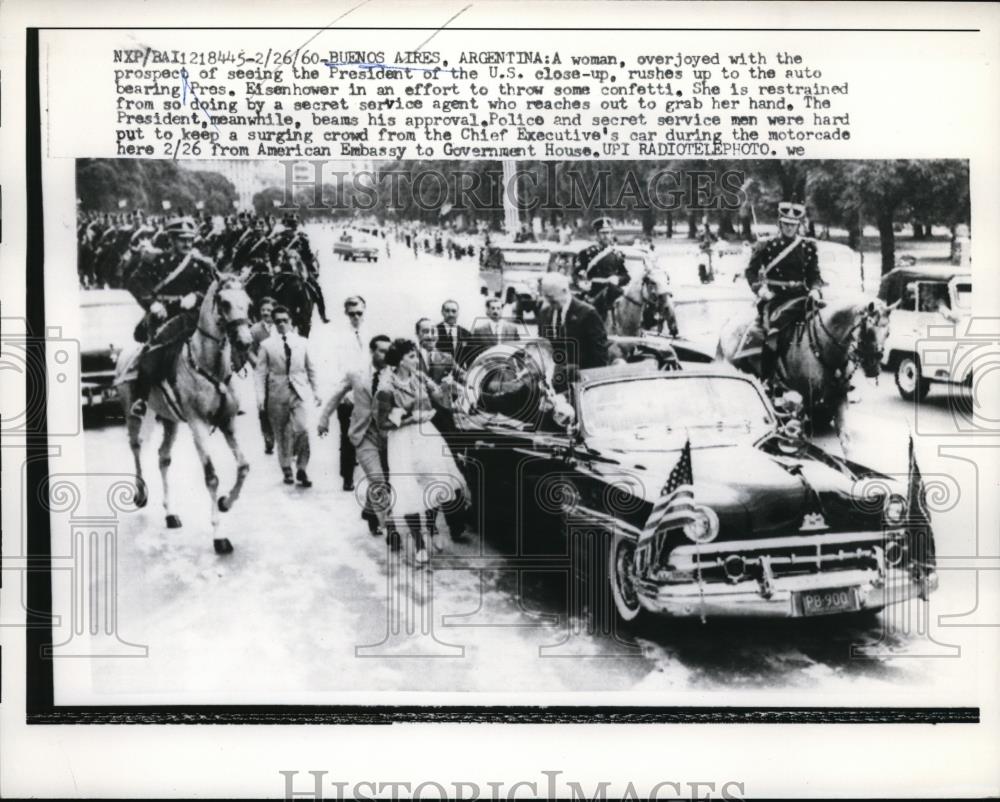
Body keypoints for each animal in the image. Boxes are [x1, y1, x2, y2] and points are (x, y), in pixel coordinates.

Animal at [114, 272, 256, 552]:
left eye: (248, 302)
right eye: (224, 302)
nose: (245, 342)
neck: (210, 366)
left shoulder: (227, 422)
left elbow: (244, 466)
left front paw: (226, 502)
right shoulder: (197, 424)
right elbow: (211, 477)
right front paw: (219, 537)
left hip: (170, 421)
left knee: (163, 457)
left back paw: (170, 514)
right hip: (134, 415)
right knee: (136, 447)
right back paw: (140, 493)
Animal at [720, 296, 892, 456]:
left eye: (888, 333)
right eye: (869, 331)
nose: (873, 368)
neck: (823, 345)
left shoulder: (839, 396)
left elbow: (845, 438)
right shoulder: (806, 398)